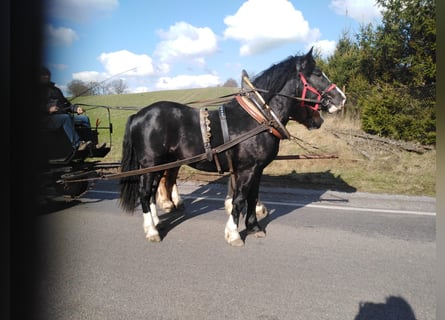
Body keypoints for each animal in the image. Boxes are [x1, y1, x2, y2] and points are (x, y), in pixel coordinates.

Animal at [119, 48, 346, 248]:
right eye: (318, 73)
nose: (341, 98)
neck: (257, 118)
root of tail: (138, 115)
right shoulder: (247, 169)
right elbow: (239, 199)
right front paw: (234, 234)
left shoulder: (256, 169)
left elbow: (252, 197)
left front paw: (254, 227)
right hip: (151, 164)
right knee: (144, 193)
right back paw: (152, 230)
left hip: (162, 164)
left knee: (153, 190)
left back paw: (156, 221)